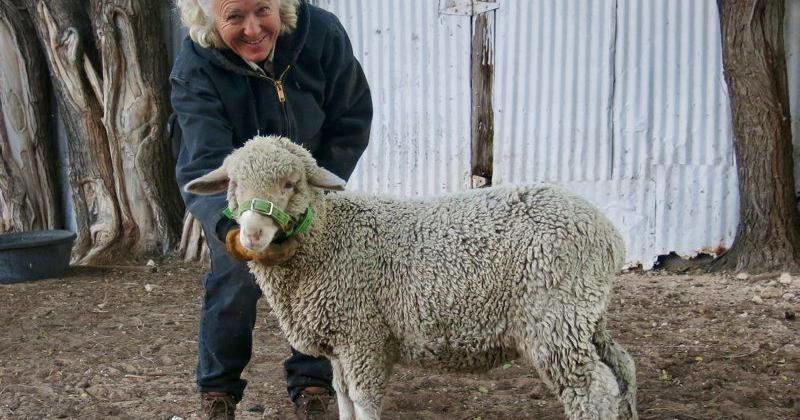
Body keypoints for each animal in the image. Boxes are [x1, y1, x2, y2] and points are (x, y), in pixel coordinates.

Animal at [185, 135, 638, 420]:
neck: (328, 237)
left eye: (291, 183)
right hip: (585, 315)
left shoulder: (362, 335)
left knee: (593, 388)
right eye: (234, 184)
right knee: (622, 368)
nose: (252, 235)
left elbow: (364, 401)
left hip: (554, 318)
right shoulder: (339, 341)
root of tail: (609, 233)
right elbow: (343, 396)